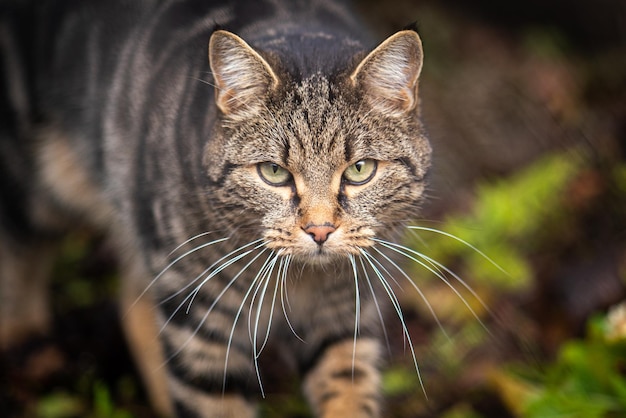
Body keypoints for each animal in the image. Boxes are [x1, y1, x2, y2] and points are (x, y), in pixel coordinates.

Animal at [0, 0, 428, 416]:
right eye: (274, 172)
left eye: (360, 169)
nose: (319, 230)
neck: (298, 282)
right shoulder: (200, 324)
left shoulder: (343, 316)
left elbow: (348, 395)